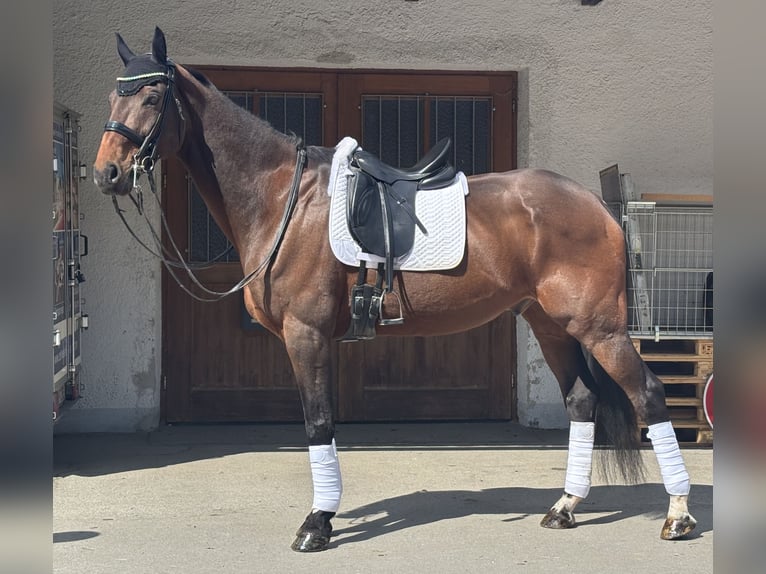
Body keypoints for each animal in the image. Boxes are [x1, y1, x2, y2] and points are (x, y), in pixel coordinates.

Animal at [94, 27, 697, 552]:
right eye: (113, 95)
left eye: (152, 96)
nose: (106, 174)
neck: (283, 198)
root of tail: (598, 208)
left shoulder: (306, 335)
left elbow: (318, 422)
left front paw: (317, 524)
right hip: (550, 325)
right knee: (581, 401)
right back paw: (565, 507)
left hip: (599, 329)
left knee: (649, 395)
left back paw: (678, 517)